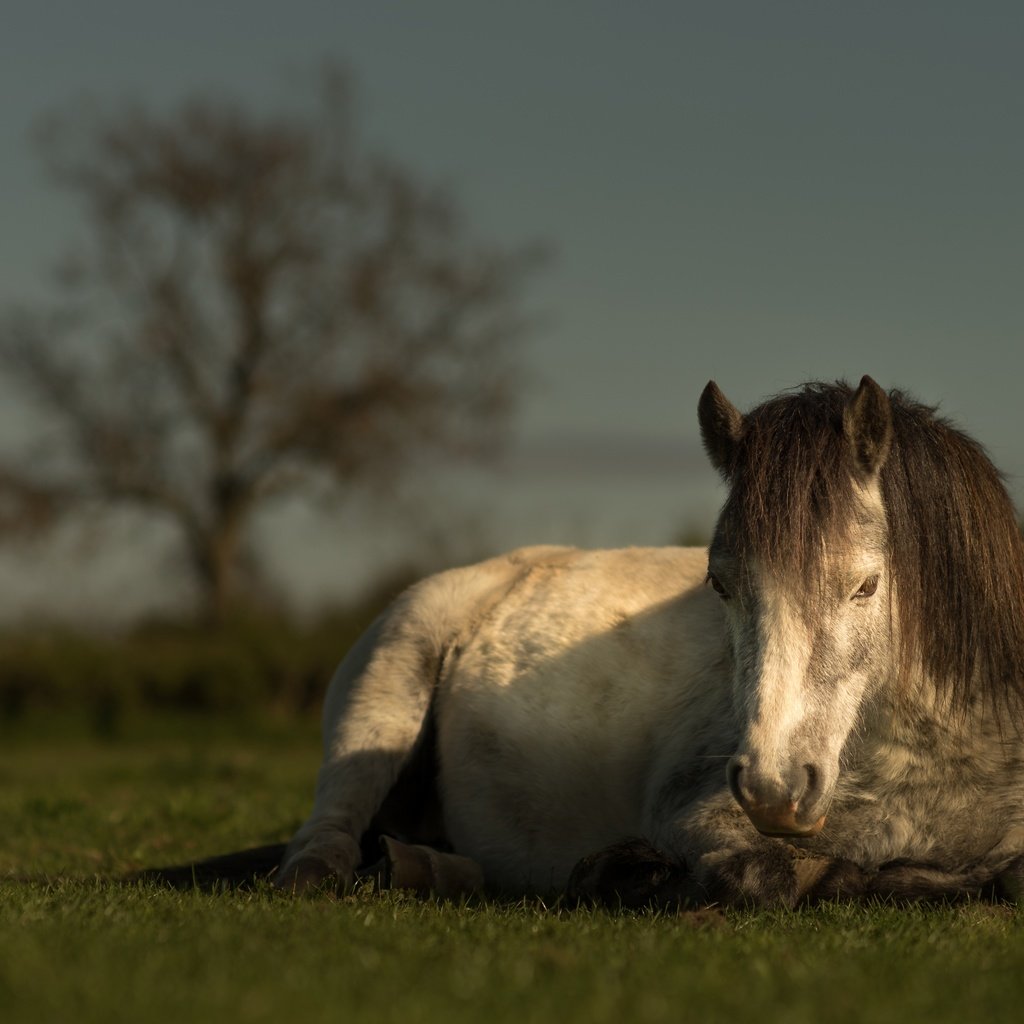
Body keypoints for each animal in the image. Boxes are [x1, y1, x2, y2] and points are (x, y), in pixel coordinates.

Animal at [148, 380, 1024, 909]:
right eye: (721, 585)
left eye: (865, 587)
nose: (775, 788)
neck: (924, 760)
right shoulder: (695, 808)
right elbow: (770, 876)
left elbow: (1005, 879)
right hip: (381, 701)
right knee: (323, 844)